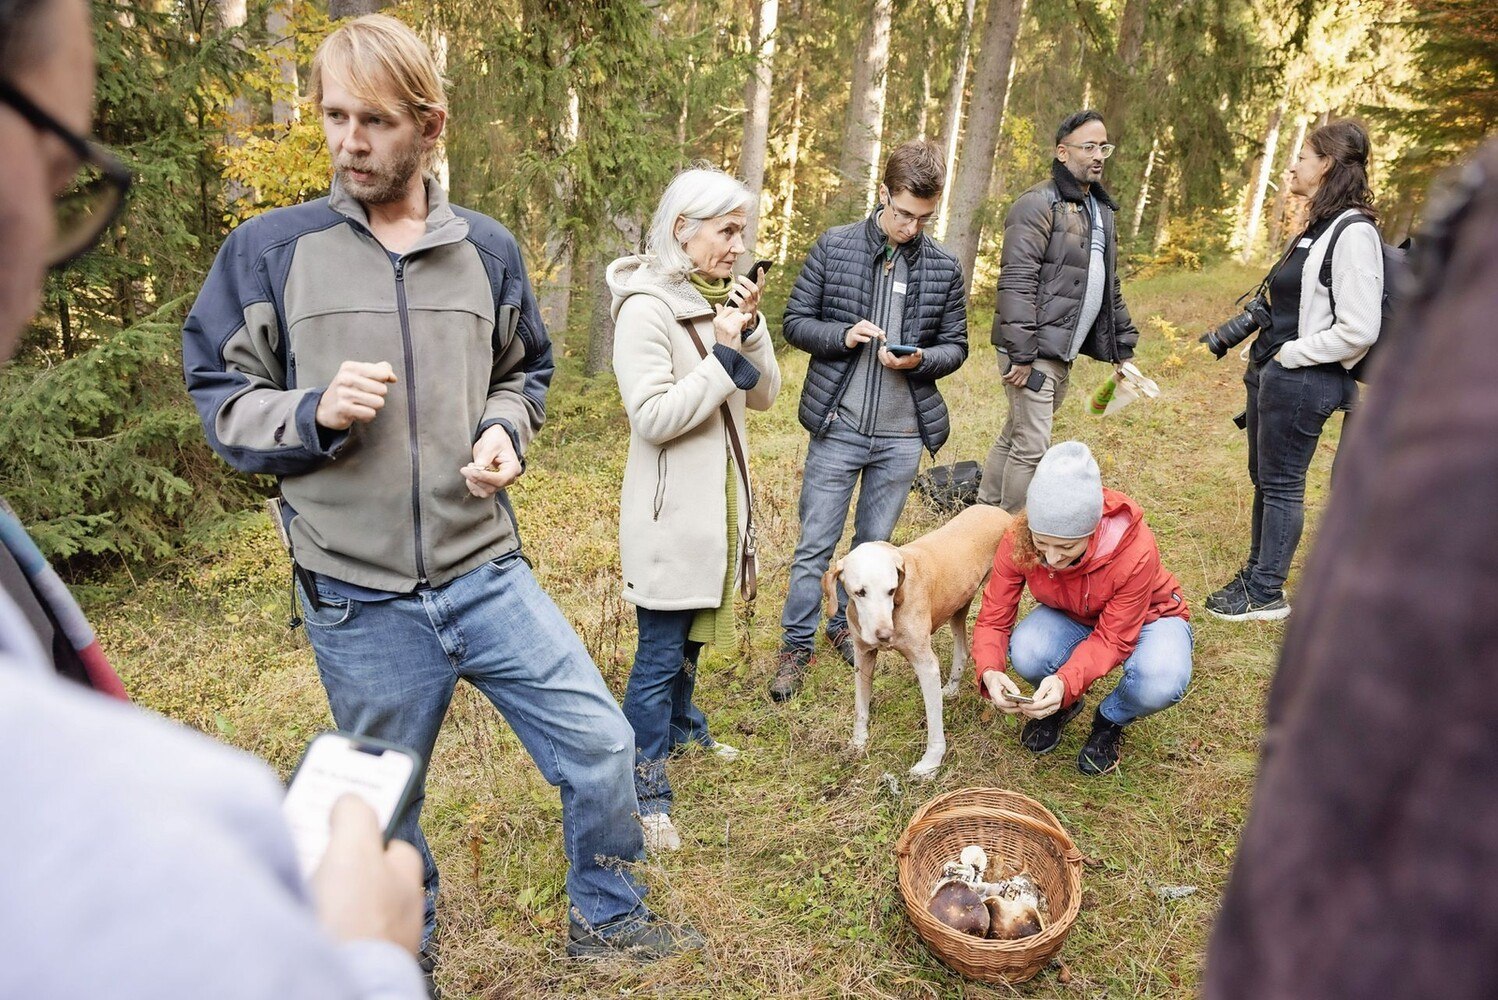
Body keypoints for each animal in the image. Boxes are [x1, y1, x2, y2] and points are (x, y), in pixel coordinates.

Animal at [826, 502, 1012, 778]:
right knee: (962, 651)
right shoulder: (863, 656)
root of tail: (999, 511)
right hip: (959, 606)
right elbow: (861, 706)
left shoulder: (926, 665)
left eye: (891, 590)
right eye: (860, 592)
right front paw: (858, 742)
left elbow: (934, 722)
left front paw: (931, 763)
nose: (885, 635)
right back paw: (952, 689)